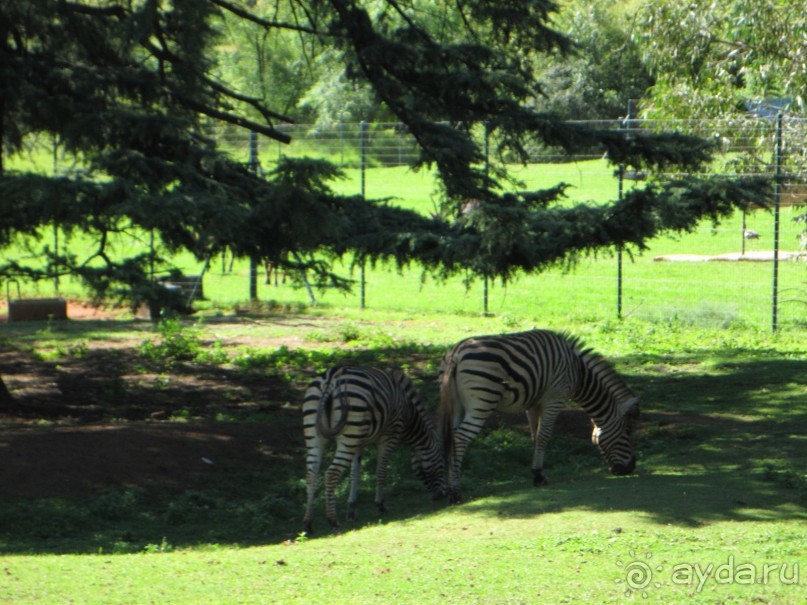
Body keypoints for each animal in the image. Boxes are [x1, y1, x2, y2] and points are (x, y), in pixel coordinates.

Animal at [304, 366, 446, 532]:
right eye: (442, 463)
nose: (441, 496)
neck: (408, 412)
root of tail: (331, 377)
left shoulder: (358, 443)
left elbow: (355, 474)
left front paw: (351, 510)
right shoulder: (389, 436)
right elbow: (381, 471)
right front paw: (380, 505)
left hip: (316, 434)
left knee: (311, 475)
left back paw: (308, 523)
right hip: (349, 431)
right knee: (331, 473)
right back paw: (333, 520)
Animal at [438, 328, 640, 502]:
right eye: (628, 431)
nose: (630, 468)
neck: (578, 371)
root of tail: (456, 354)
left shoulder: (532, 403)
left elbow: (535, 436)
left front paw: (536, 472)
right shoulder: (554, 398)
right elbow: (544, 436)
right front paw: (539, 476)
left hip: (456, 405)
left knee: (451, 437)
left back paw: (448, 489)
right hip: (482, 401)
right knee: (461, 438)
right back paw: (455, 492)